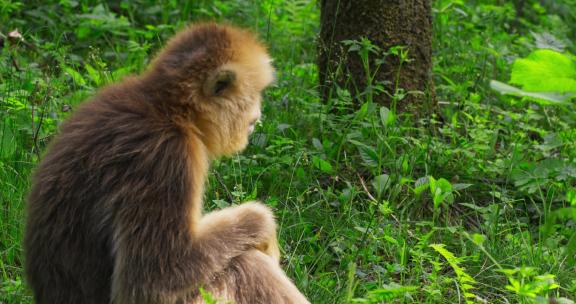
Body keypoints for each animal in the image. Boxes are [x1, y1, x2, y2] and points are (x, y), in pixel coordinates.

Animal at [24, 22, 310, 304]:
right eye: (256, 95)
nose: (258, 114)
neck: (166, 110)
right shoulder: (168, 156)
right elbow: (151, 279)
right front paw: (261, 221)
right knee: (244, 263)